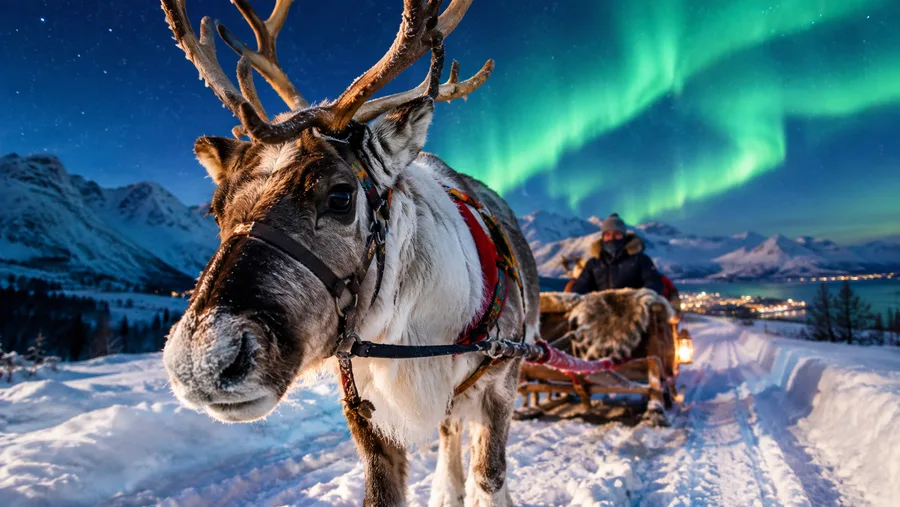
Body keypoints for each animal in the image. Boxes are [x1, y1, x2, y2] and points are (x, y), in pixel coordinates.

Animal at [159, 1, 540, 506]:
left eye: (340, 196)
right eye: (215, 208)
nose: (200, 362)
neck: (414, 340)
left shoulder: (502, 382)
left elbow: (490, 479)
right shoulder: (365, 410)